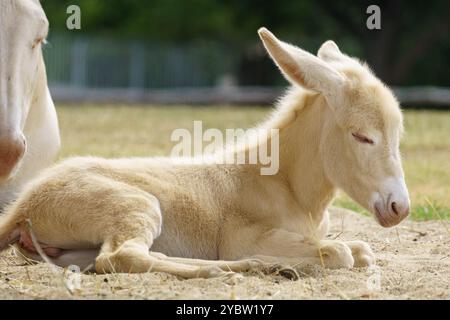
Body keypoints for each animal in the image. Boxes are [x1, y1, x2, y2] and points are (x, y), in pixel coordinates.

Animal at [0, 28, 410, 278]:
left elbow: (361, 249)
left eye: (398, 134)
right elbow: (342, 253)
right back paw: (238, 267)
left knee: (122, 258)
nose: (400, 208)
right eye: (362, 136)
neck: (287, 186)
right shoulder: (244, 235)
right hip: (135, 204)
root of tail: (21, 207)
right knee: (121, 257)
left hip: (71, 248)